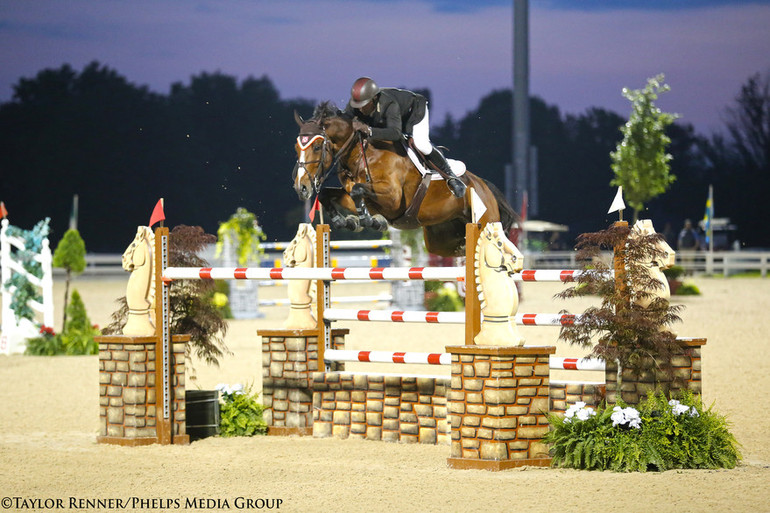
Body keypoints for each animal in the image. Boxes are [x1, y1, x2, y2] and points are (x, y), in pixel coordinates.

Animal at [292, 102, 512, 258]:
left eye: (317, 147)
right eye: (296, 147)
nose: (301, 187)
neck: (360, 155)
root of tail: (484, 187)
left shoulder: (392, 199)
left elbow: (358, 191)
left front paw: (369, 221)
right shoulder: (363, 198)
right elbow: (329, 194)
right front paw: (347, 221)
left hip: (483, 218)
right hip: (440, 239)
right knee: (456, 249)